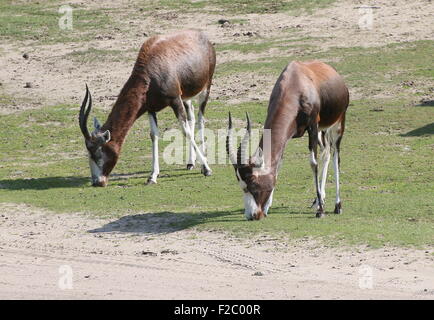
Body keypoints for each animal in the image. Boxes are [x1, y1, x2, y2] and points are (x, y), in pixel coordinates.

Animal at [78, 29, 217, 186]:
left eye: (98, 152)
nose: (97, 182)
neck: (151, 71)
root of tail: (203, 37)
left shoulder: (175, 101)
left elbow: (185, 131)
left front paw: (207, 169)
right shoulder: (151, 108)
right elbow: (154, 135)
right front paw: (152, 176)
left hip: (205, 89)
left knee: (200, 119)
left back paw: (203, 163)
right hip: (185, 97)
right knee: (192, 116)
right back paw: (190, 163)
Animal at [227, 60, 350, 220]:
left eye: (252, 182)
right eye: (241, 184)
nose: (252, 215)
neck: (296, 83)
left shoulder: (312, 126)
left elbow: (313, 163)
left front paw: (321, 211)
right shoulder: (287, 138)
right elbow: (278, 165)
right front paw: (266, 208)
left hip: (337, 124)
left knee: (336, 155)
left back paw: (337, 205)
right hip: (321, 131)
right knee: (327, 152)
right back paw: (318, 200)